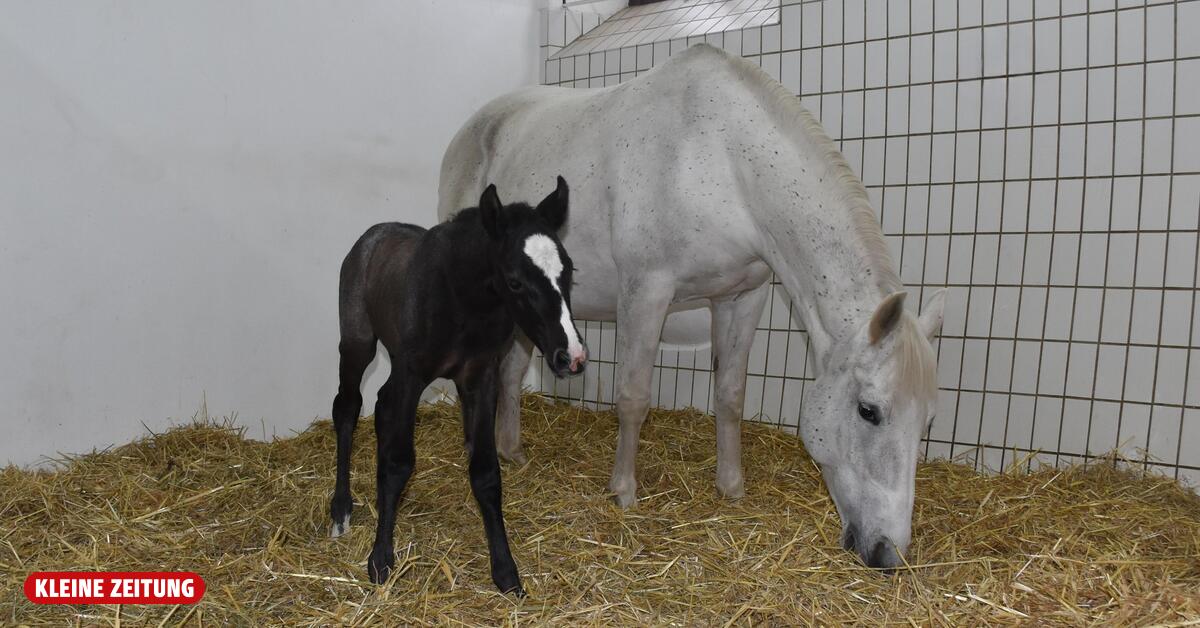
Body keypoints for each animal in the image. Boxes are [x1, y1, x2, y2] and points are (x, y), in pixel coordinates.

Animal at [329, 177, 586, 594]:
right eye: (515, 281)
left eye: (568, 272)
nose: (572, 357)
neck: (464, 301)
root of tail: (371, 237)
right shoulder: (413, 374)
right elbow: (399, 462)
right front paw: (381, 560)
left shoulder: (480, 379)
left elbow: (485, 472)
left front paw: (506, 571)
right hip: (358, 344)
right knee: (348, 409)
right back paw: (340, 510)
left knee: (381, 404)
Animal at [437, 44, 945, 570]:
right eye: (869, 411)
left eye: (927, 421)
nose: (888, 553)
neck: (721, 160)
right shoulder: (646, 293)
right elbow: (633, 398)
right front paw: (623, 492)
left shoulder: (742, 298)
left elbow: (730, 397)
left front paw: (731, 486)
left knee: (512, 374)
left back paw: (512, 451)